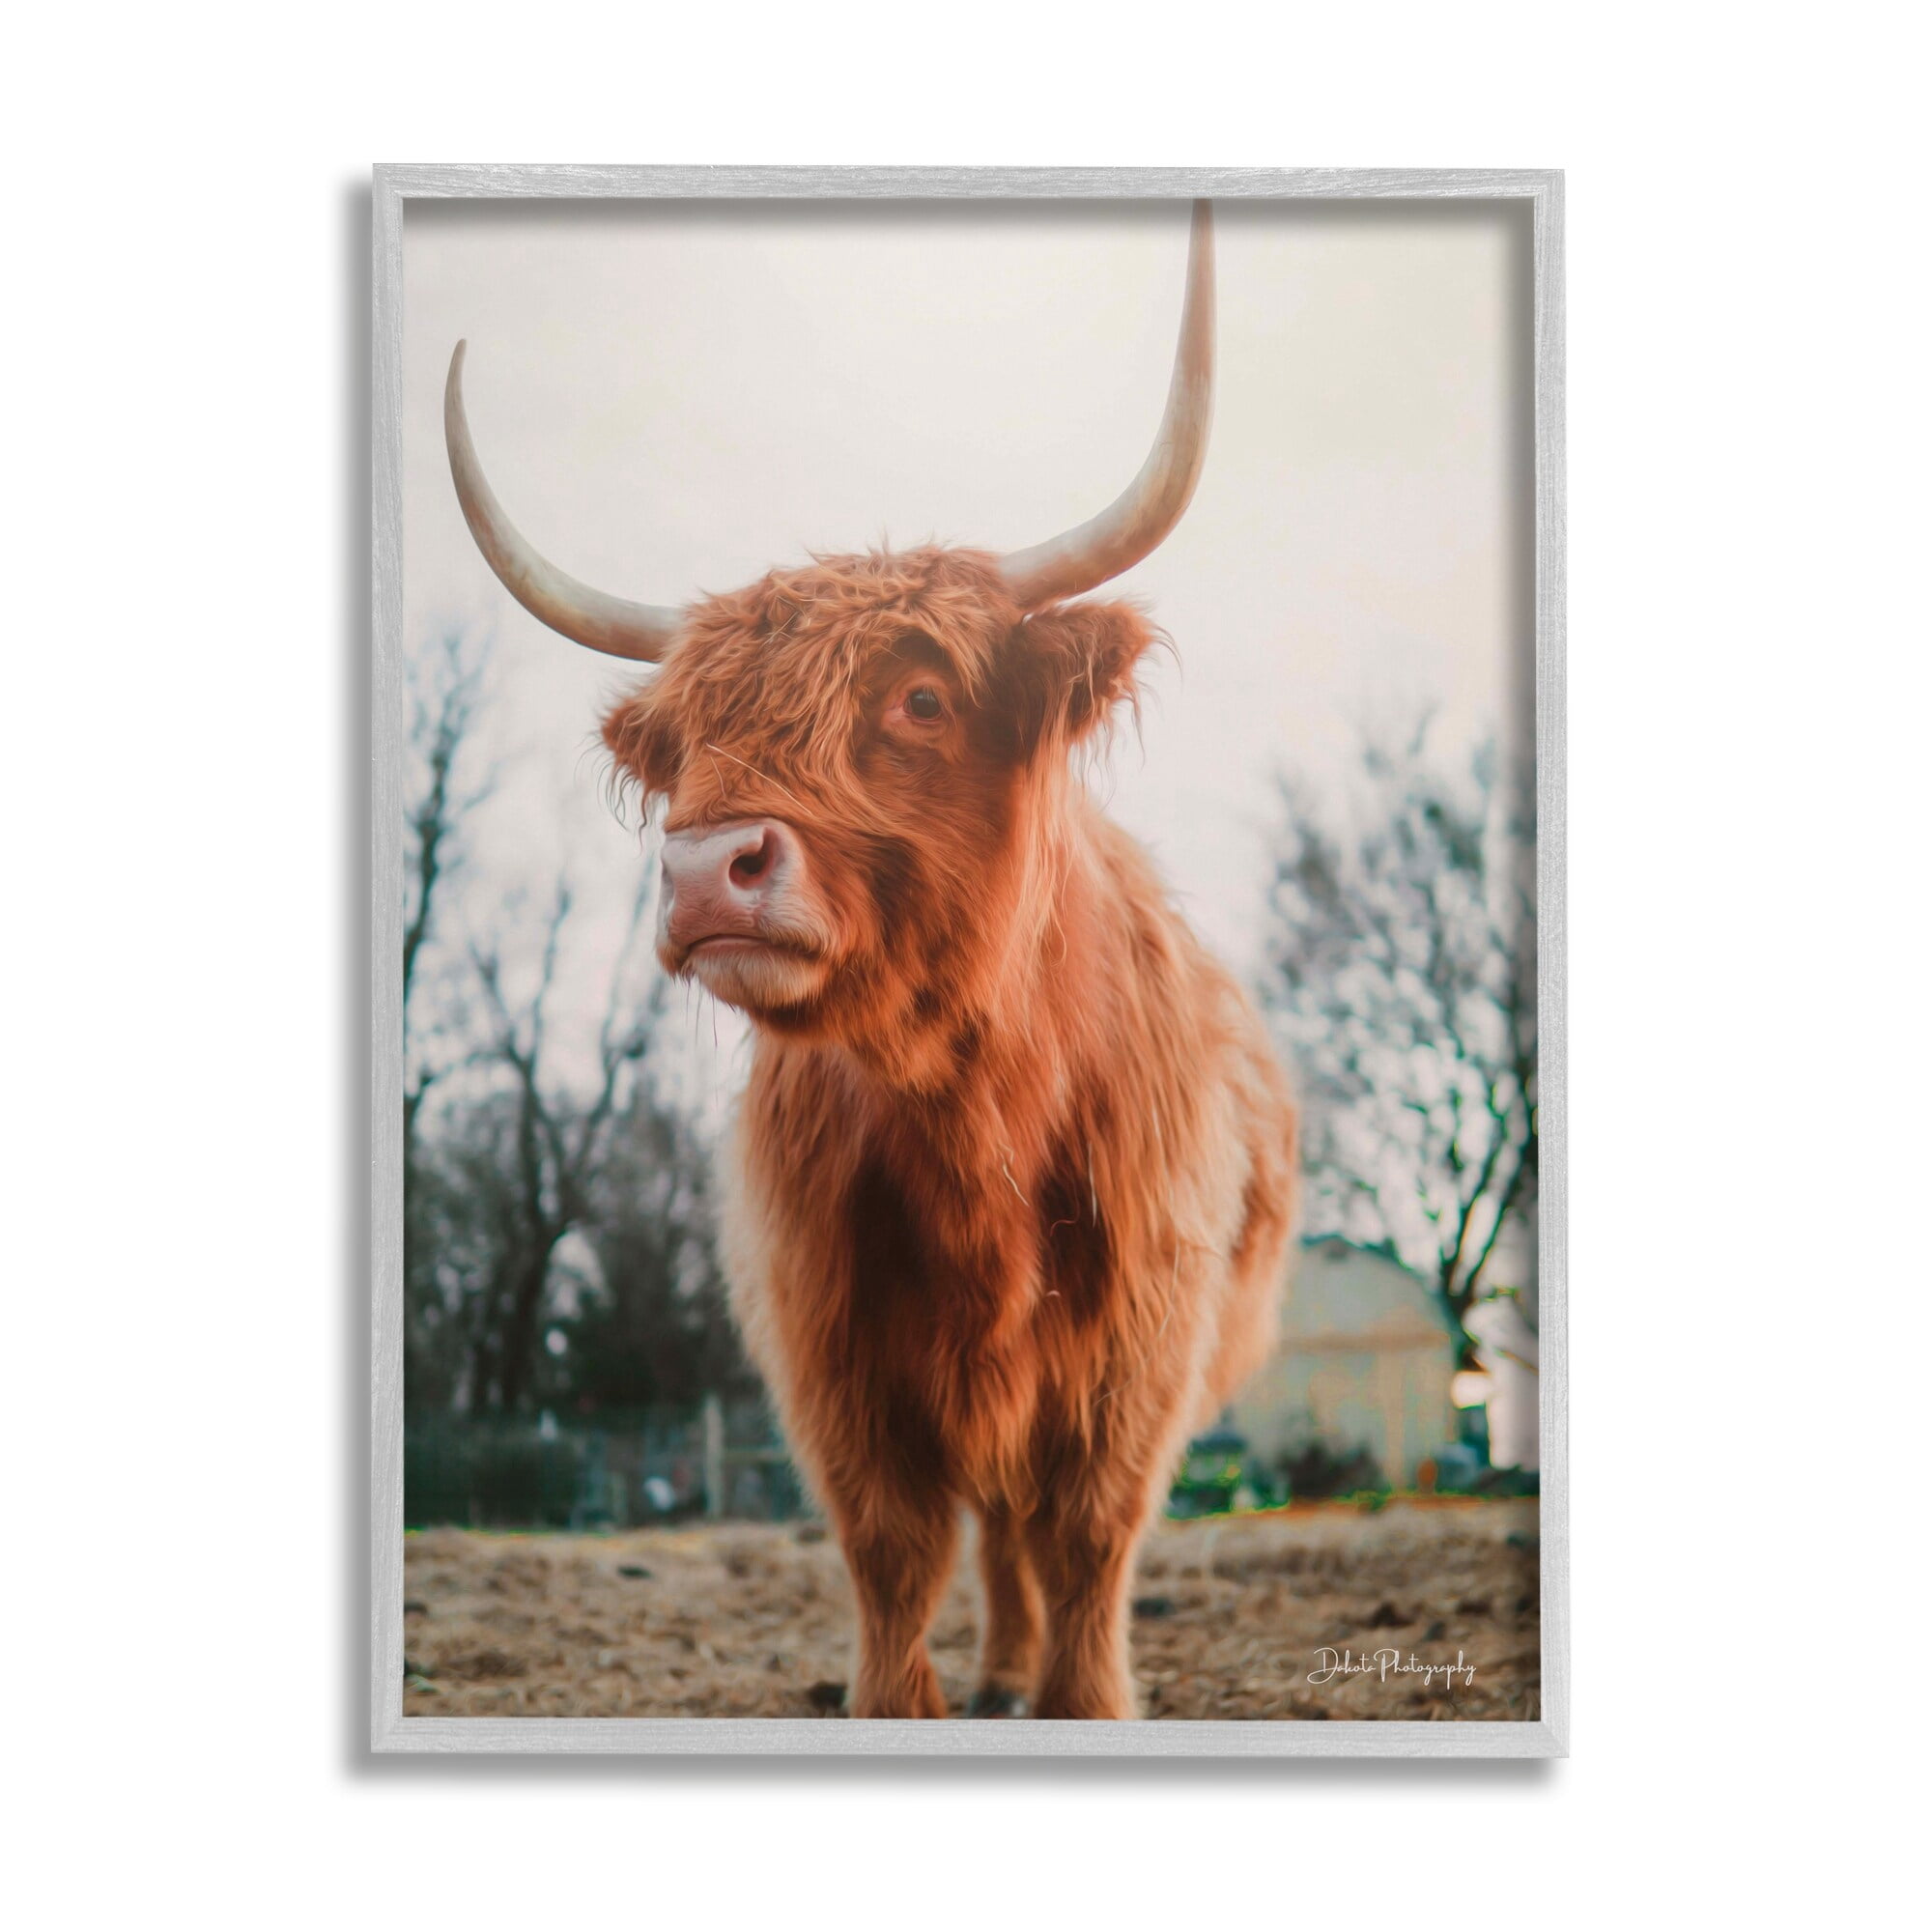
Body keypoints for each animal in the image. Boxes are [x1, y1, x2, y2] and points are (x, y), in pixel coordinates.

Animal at [444, 202, 1298, 1719]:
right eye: (688, 736)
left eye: (920, 697)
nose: (703, 867)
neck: (975, 1123)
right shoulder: (829, 1345)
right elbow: (893, 1549)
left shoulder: (1138, 1343)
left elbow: (1089, 1538)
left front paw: (1079, 1701)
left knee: (1026, 1528)